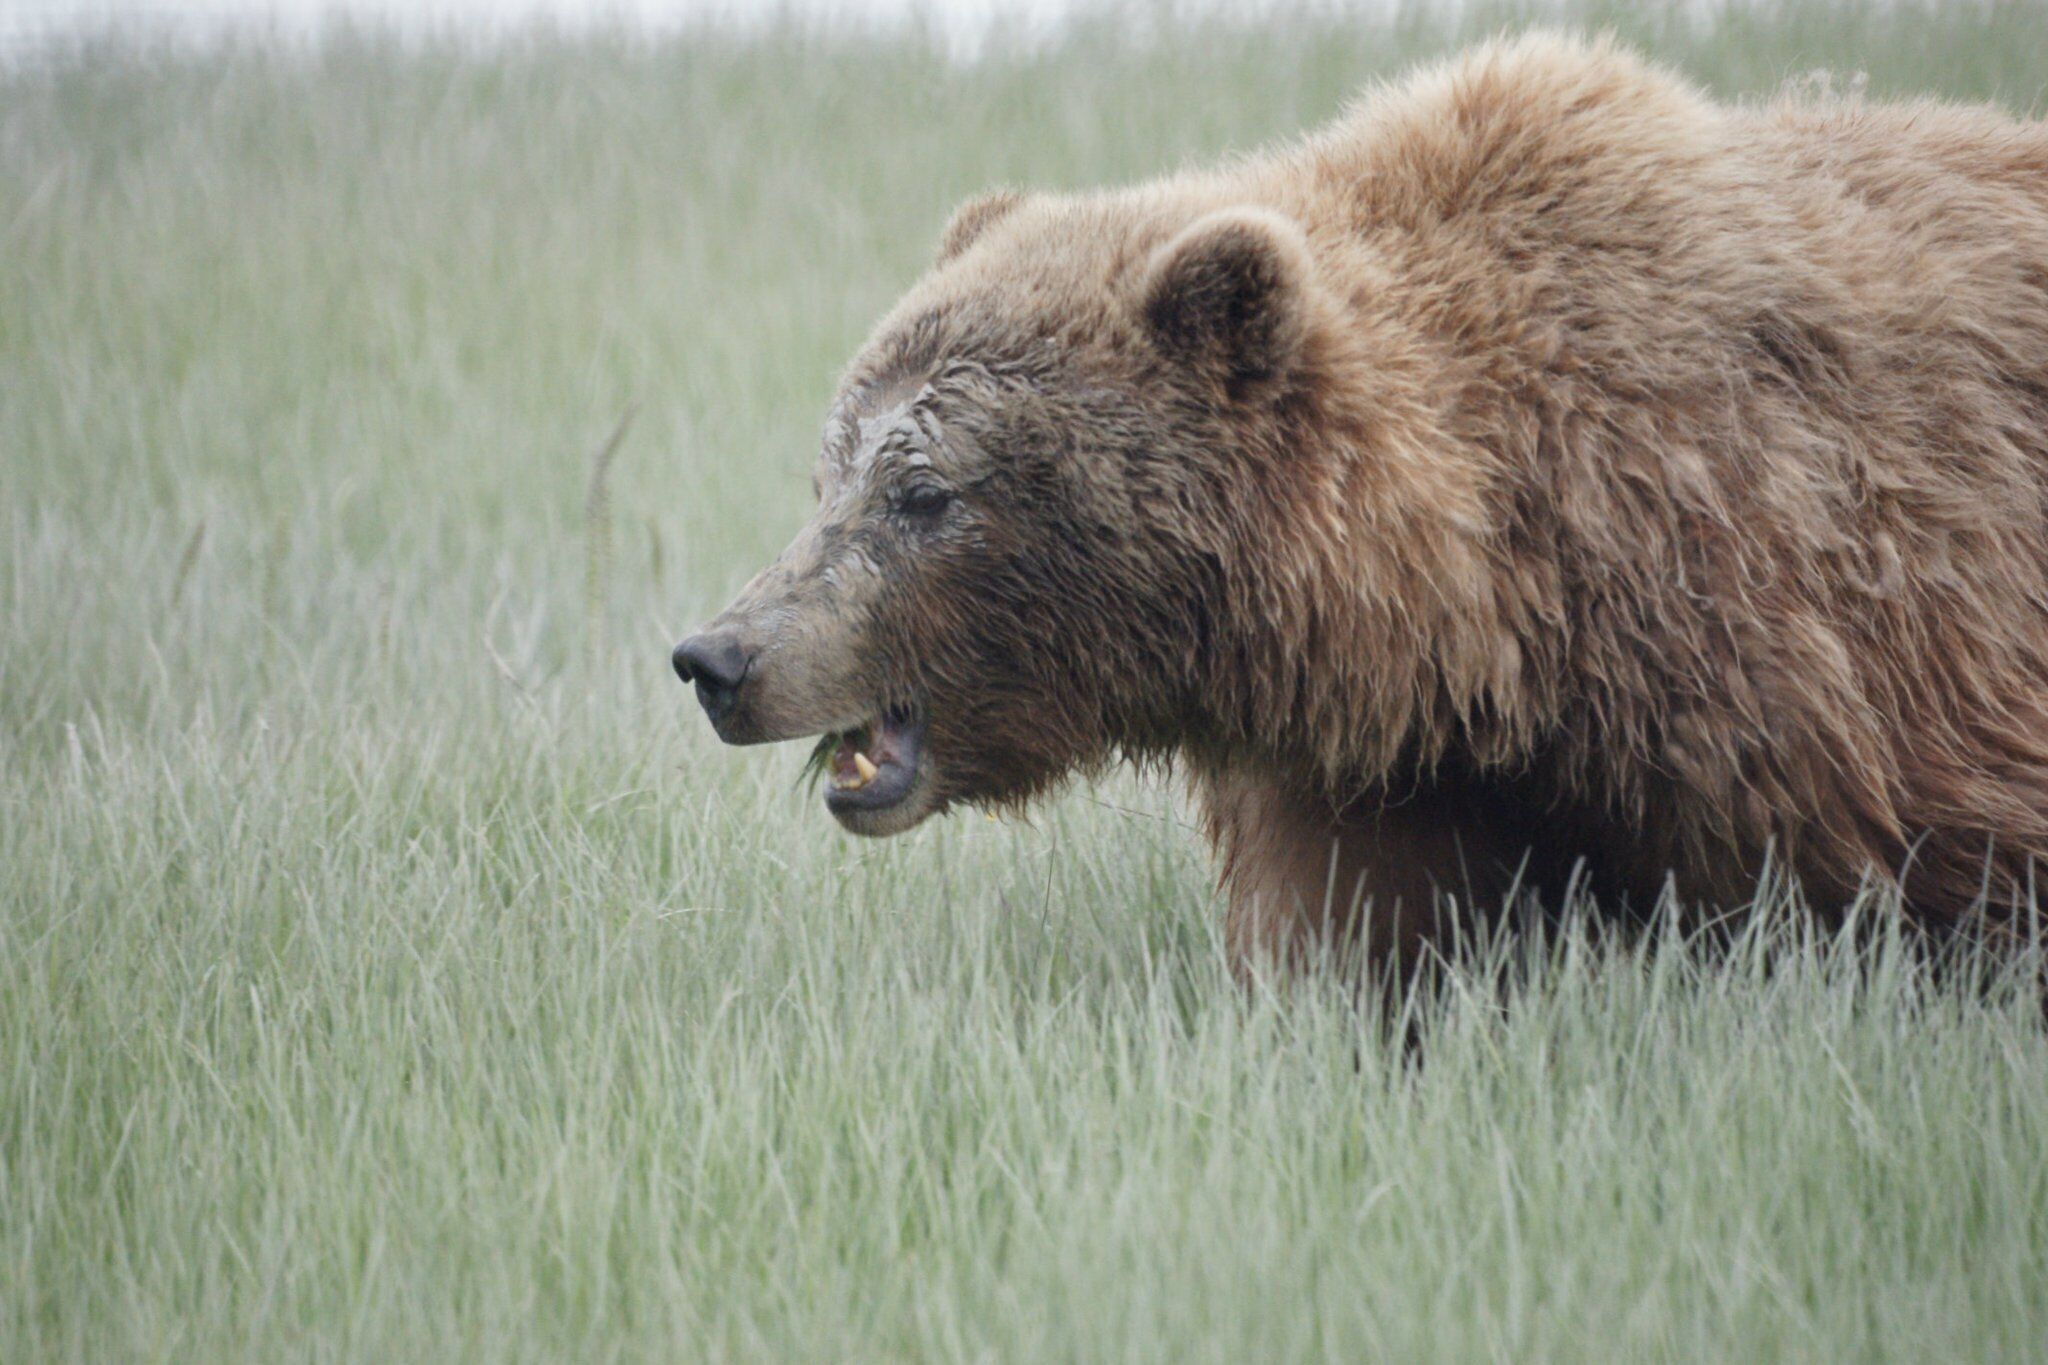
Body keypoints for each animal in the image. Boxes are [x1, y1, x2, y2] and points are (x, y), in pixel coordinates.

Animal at [673, 32, 2048, 978]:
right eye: (826, 474)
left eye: (922, 491)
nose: (717, 656)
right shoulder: (1382, 781)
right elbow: (1365, 948)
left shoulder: (1847, 657)